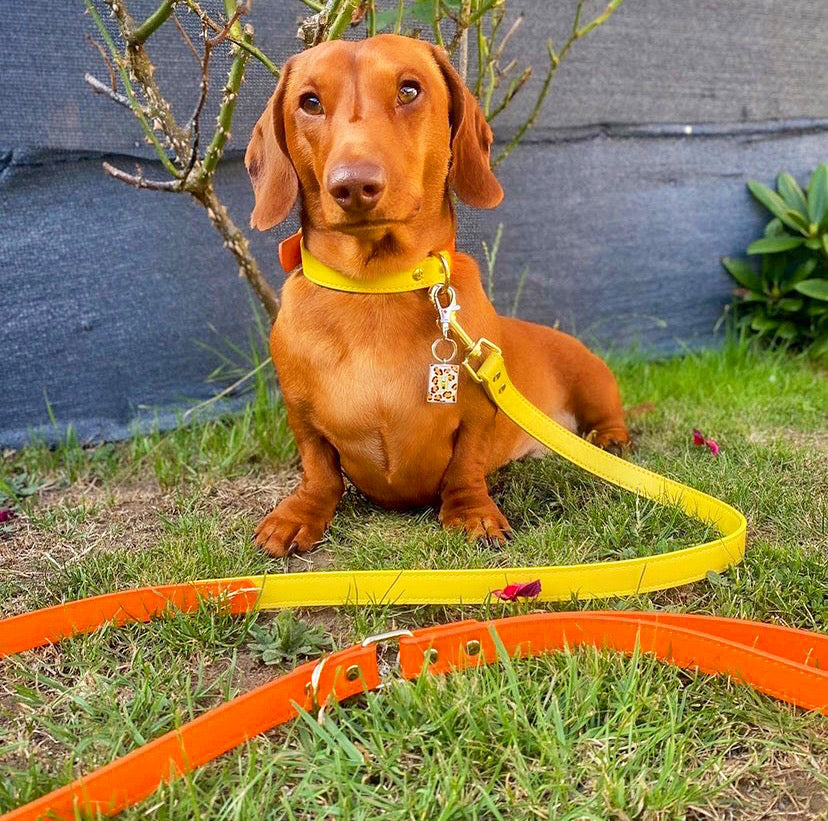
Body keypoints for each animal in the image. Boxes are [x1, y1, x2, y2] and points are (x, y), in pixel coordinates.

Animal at [246, 33, 628, 556]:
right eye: (309, 102)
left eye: (409, 89)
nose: (354, 185)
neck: (377, 287)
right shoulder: (302, 418)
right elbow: (320, 471)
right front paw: (300, 513)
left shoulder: (477, 414)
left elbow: (465, 465)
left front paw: (472, 512)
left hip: (594, 382)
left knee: (612, 420)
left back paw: (609, 441)